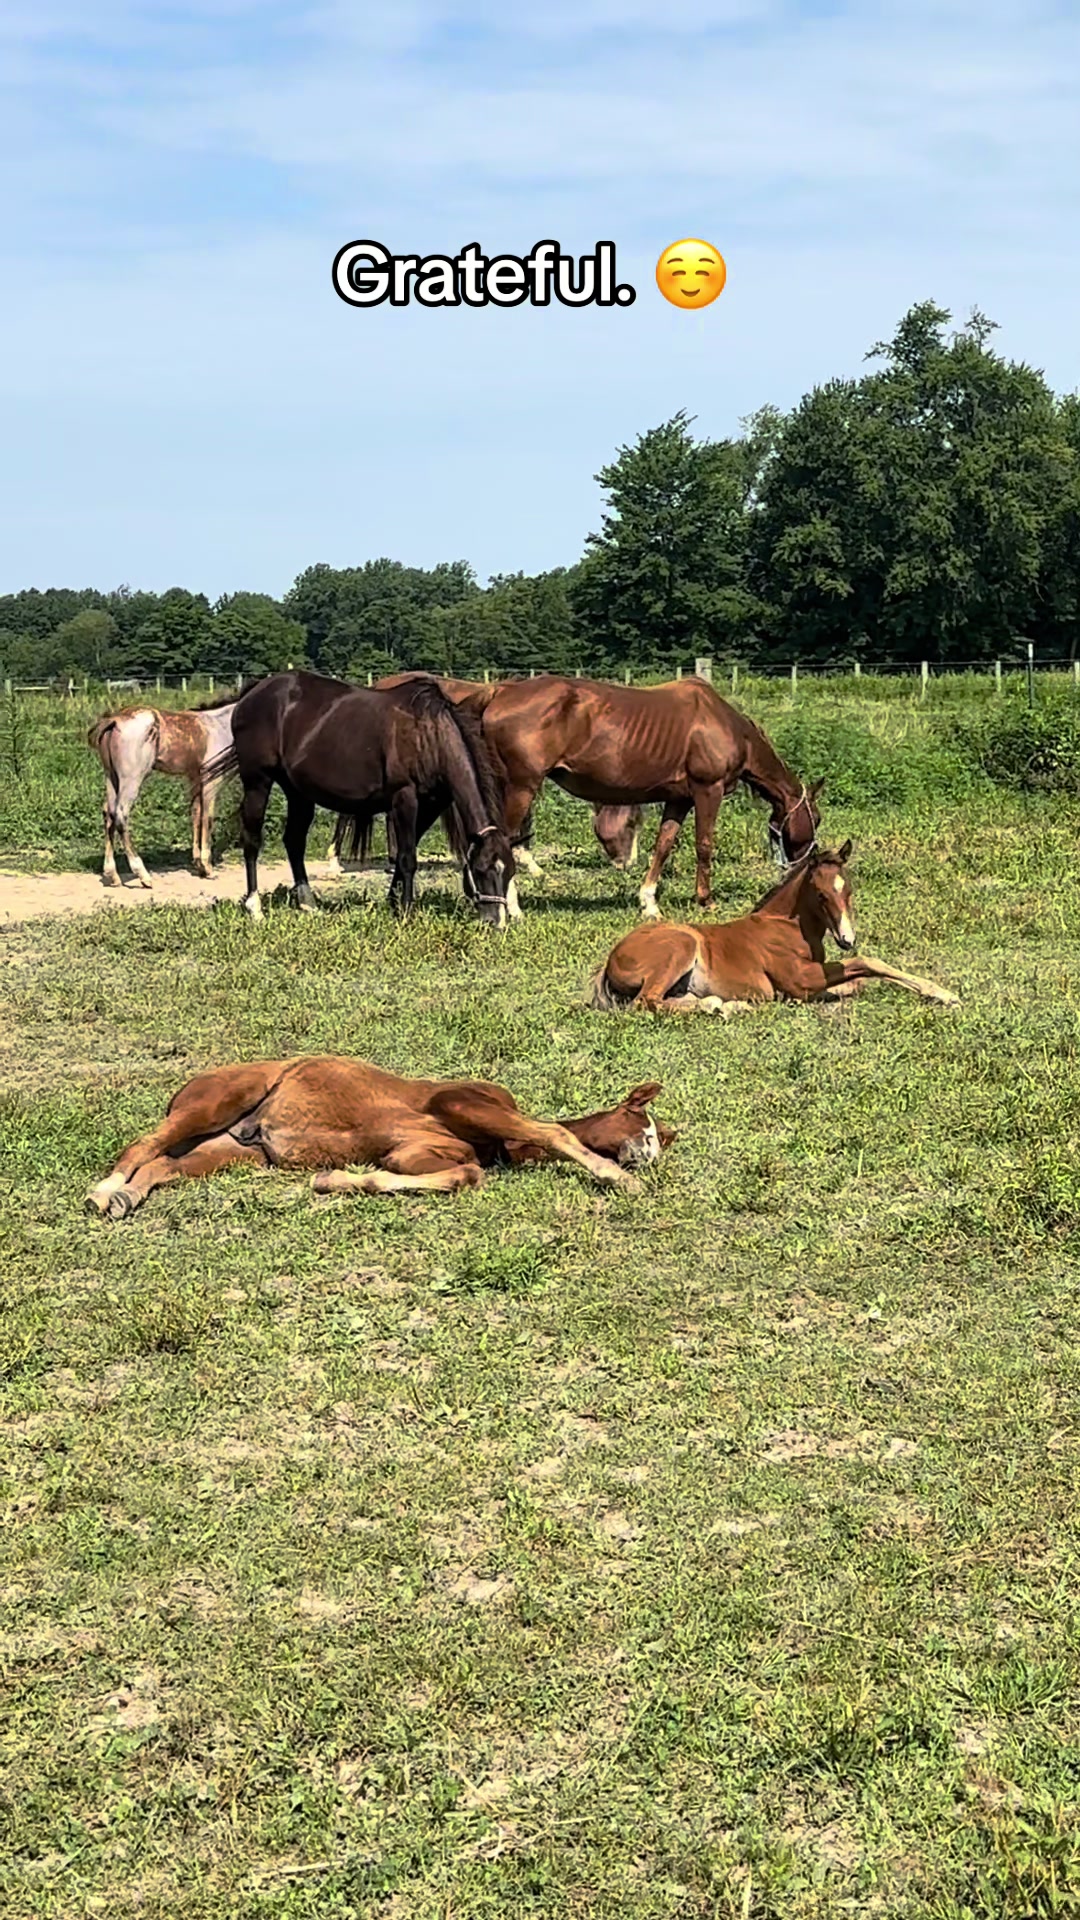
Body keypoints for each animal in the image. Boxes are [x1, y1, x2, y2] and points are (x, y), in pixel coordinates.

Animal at [85, 1058, 675, 1218]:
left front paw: (335, 1179)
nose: (645, 1158)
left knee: (162, 1164)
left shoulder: (418, 1152)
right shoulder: (464, 1104)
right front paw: (617, 1178)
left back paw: (125, 1197)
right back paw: (102, 1191)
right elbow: (549, 1134)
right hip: (218, 1102)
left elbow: (464, 1174)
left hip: (232, 1152)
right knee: (142, 1146)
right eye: (640, 1126)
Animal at [87, 696, 239, 887]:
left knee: (108, 814)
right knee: (121, 815)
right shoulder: (211, 781)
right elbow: (207, 818)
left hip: (111, 778)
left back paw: (112, 875)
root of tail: (115, 720)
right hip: (131, 780)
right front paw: (207, 867)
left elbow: (195, 815)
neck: (220, 725)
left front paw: (199, 865)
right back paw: (143, 875)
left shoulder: (195, 779)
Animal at [200, 670, 515, 924]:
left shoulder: (430, 805)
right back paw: (255, 906)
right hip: (258, 781)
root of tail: (252, 692)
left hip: (298, 792)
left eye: (510, 872)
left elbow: (406, 850)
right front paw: (406, 911)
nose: (496, 922)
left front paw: (393, 902)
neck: (427, 734)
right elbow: (407, 857)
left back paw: (308, 902)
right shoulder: (404, 798)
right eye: (482, 870)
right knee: (252, 839)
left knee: (294, 842)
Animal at [591, 841, 960, 1014]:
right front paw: (945, 993)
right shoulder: (801, 981)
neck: (787, 927)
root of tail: (610, 960)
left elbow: (858, 981)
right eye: (821, 895)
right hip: (681, 946)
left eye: (850, 890)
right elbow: (866, 962)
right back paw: (719, 1005)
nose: (846, 939)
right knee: (647, 1001)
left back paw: (728, 1005)